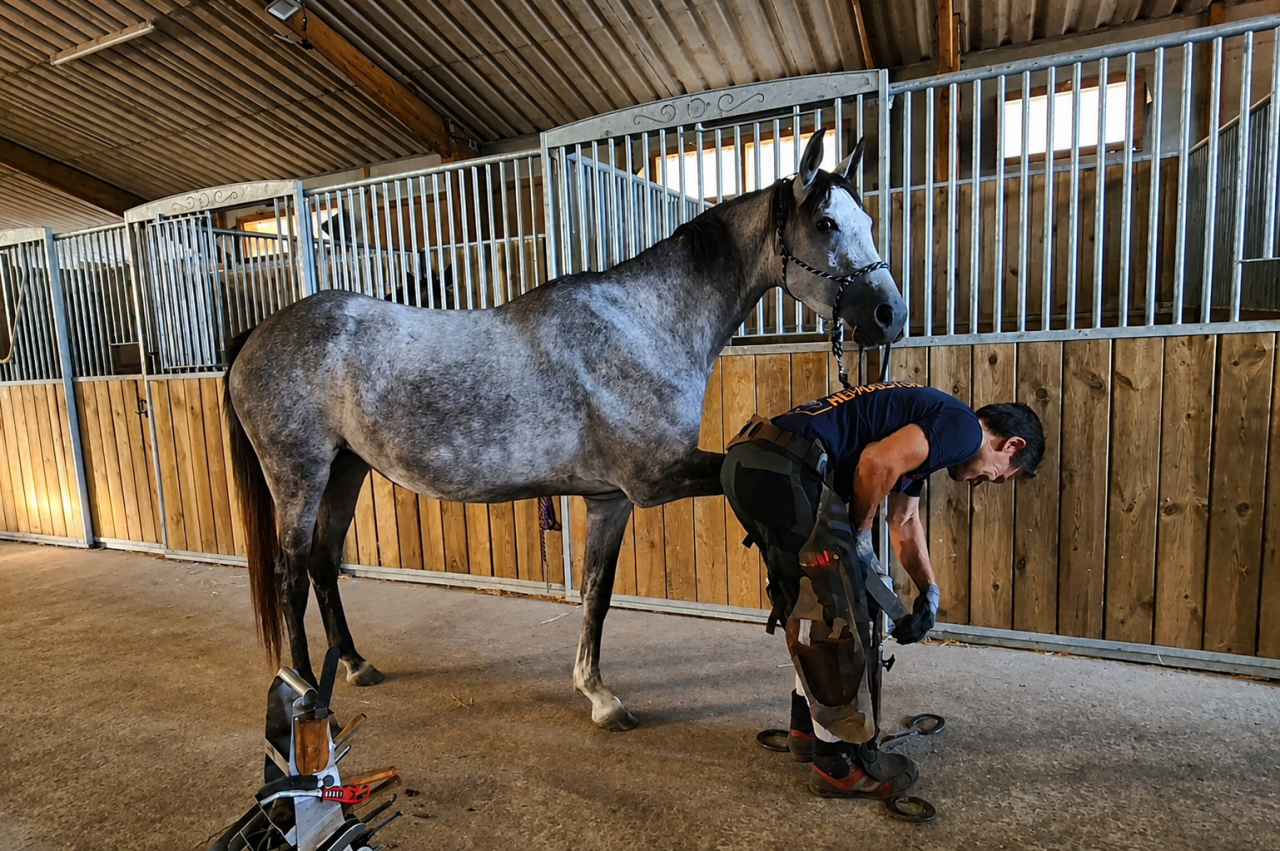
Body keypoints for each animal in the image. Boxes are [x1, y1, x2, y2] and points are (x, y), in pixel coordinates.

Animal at [224, 130, 907, 731]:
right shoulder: (656, 480)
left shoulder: (610, 500)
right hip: (299, 476)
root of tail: (256, 335)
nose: (889, 314)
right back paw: (308, 696)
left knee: (322, 562)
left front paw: (598, 695)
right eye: (826, 224)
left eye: (868, 221)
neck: (642, 324)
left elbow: (596, 594)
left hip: (346, 468)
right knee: (290, 575)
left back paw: (356, 664)